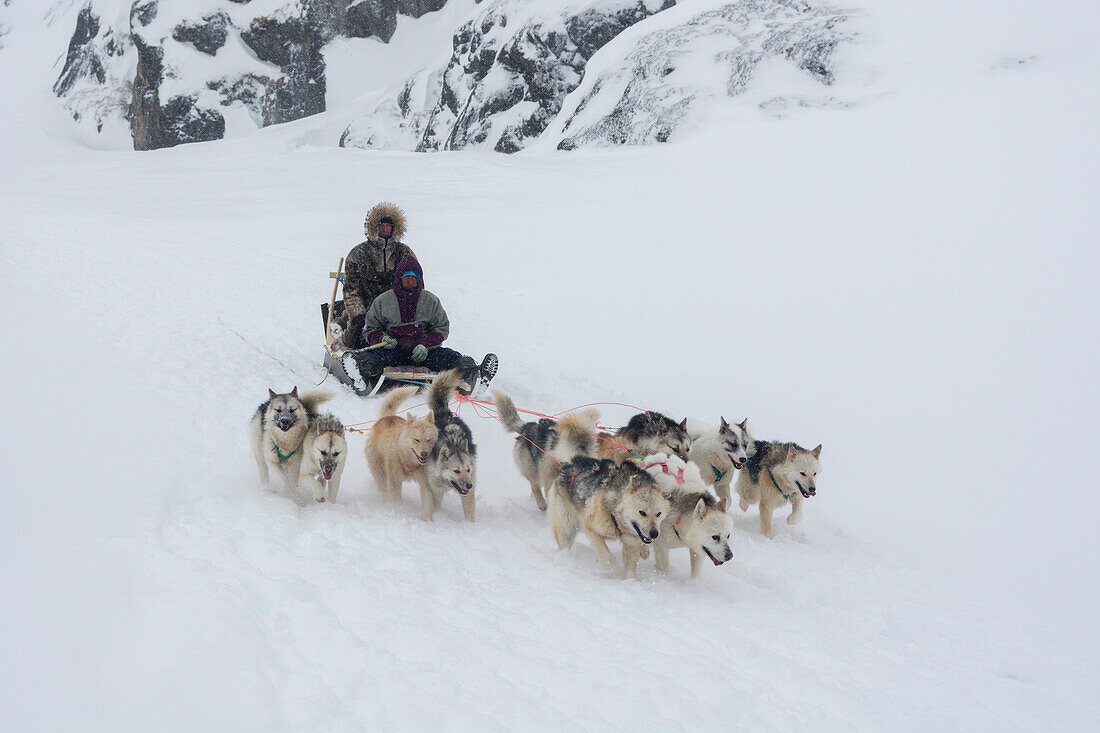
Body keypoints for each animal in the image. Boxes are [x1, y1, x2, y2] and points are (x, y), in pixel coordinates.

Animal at [422, 365, 479, 519]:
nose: (469, 485)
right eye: (456, 471)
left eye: (468, 469)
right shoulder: (436, 490)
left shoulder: (469, 492)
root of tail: (443, 413)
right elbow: (435, 506)